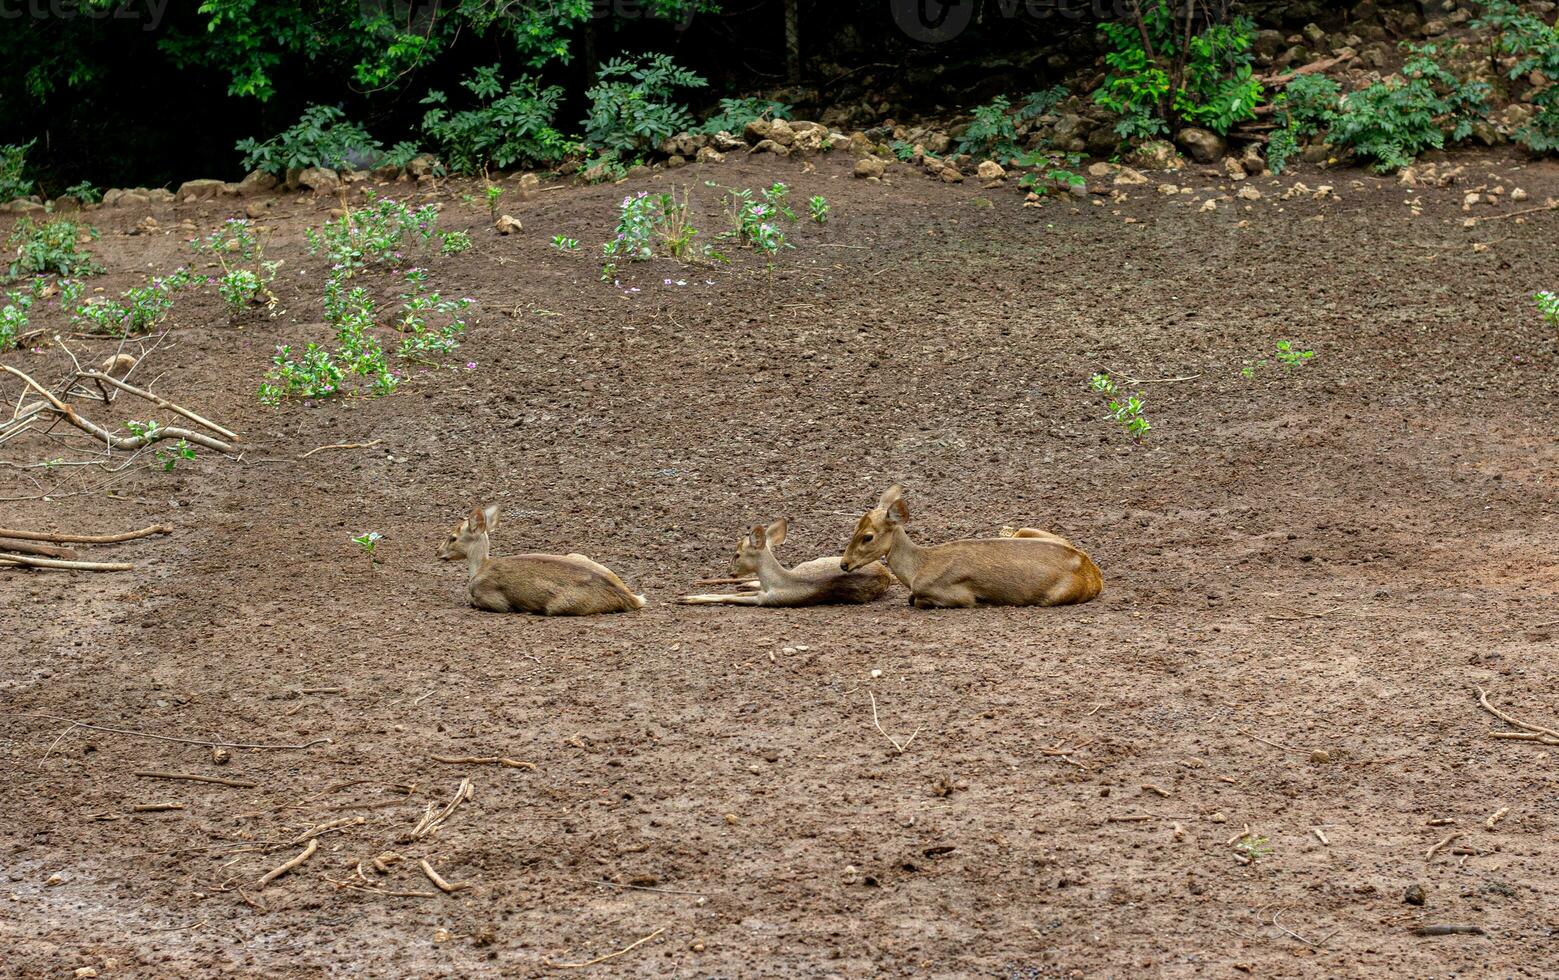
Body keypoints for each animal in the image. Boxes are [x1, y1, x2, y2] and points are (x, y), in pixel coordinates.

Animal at [436, 504, 642, 610]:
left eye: (453, 537)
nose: (438, 552)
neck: (479, 569)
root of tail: (633, 598)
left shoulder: (493, 600)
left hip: (559, 605)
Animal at [679, 520, 891, 604]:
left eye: (737, 554)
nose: (730, 572)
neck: (774, 582)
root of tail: (886, 574)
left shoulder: (767, 600)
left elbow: (728, 597)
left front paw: (686, 598)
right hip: (811, 562)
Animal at [835, 486, 1103, 607]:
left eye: (867, 536)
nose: (844, 564)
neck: (917, 570)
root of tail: (1095, 574)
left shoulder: (957, 595)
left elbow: (918, 601)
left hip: (1053, 596)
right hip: (1025, 530)